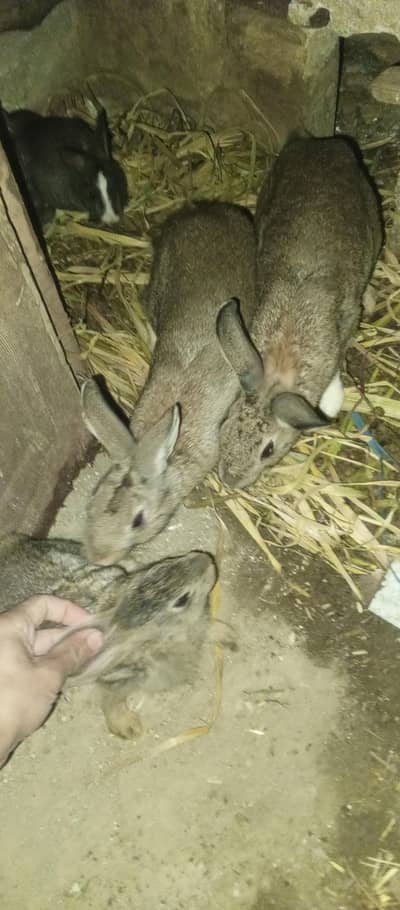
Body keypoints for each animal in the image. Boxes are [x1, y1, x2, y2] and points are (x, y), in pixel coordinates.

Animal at [214, 135, 383, 489]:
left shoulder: (346, 321)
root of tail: (325, 143)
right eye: (224, 422)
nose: (230, 480)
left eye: (268, 450)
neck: (282, 362)